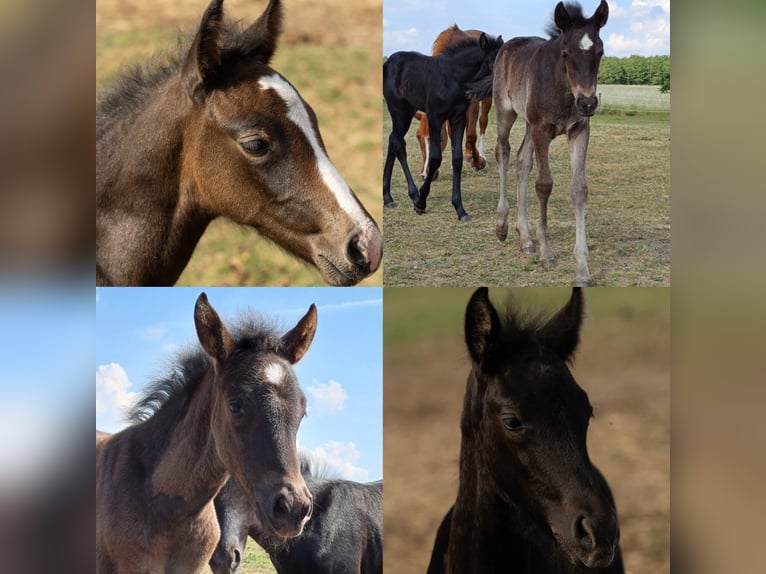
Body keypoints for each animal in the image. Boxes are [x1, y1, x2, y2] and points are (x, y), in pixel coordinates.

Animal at [416, 25, 496, 179]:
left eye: (438, 139)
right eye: (418, 138)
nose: (424, 174)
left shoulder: (472, 102)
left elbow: (471, 135)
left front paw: (478, 162)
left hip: (487, 98)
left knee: (483, 123)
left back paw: (481, 154)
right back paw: (468, 154)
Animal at [498, 0, 612, 288]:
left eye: (601, 52)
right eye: (565, 53)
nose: (588, 102)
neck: (564, 90)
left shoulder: (579, 130)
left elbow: (579, 189)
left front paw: (582, 268)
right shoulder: (542, 129)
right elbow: (544, 185)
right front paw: (547, 253)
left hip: (528, 124)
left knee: (522, 161)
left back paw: (525, 239)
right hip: (506, 112)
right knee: (503, 152)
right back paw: (502, 226)